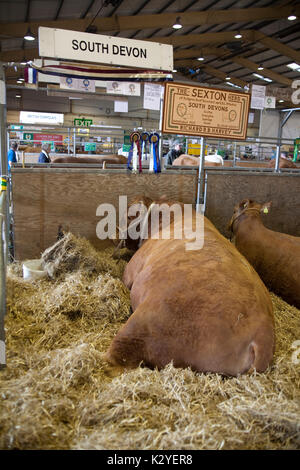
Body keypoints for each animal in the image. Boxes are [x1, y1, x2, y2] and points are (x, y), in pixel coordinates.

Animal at [105, 196, 274, 376]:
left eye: (128, 215)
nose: (113, 235)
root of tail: (263, 335)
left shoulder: (133, 267)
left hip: (148, 321)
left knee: (118, 357)